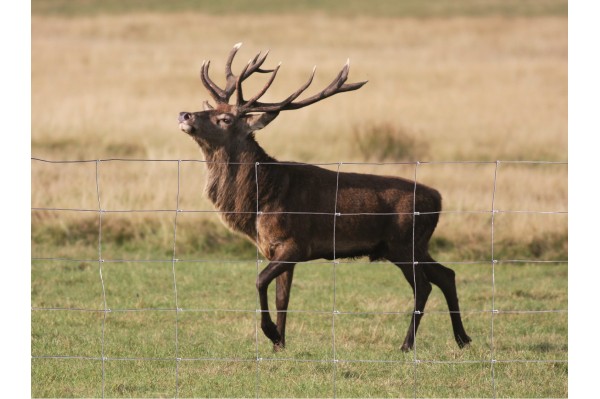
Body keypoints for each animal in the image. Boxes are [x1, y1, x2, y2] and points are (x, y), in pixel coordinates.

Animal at [176, 42, 472, 352]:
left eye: (225, 119)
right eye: (212, 109)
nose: (184, 115)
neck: (261, 200)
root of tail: (438, 199)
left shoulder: (295, 244)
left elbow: (259, 280)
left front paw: (270, 332)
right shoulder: (276, 249)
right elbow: (283, 298)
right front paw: (279, 345)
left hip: (404, 243)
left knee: (424, 286)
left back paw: (407, 345)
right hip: (414, 245)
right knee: (447, 275)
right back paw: (463, 339)